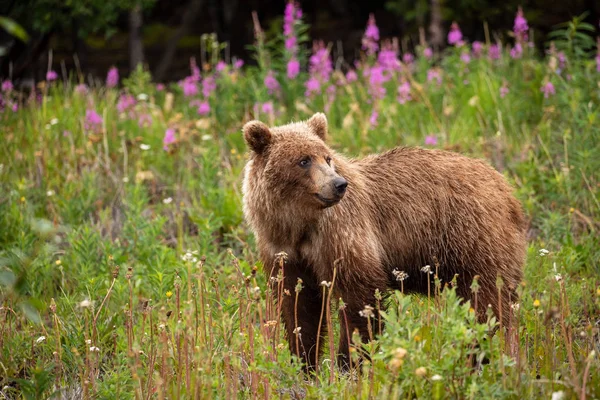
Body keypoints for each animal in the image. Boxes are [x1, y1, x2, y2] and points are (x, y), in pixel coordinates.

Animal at [241, 111, 528, 368]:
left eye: (327, 157)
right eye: (303, 160)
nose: (338, 184)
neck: (299, 223)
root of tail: (507, 187)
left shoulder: (342, 233)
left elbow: (360, 299)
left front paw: (350, 363)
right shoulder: (284, 250)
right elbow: (299, 308)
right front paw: (304, 363)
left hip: (473, 238)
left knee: (485, 301)